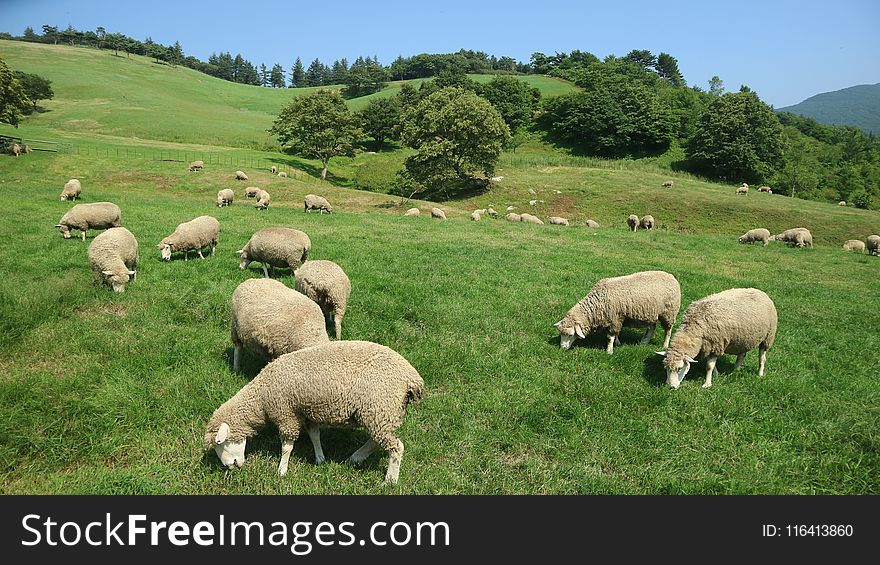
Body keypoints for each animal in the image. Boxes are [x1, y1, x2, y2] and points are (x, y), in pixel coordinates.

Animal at [206, 340, 426, 484]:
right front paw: (320, 459)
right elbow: (314, 435)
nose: (230, 467)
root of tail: (411, 378)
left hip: (380, 409)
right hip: (379, 414)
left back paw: (390, 480)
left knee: (396, 447)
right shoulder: (306, 412)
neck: (262, 398)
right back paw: (355, 458)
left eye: (221, 443)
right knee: (376, 441)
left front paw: (281, 470)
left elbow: (287, 447)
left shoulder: (286, 414)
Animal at [552, 270, 684, 354]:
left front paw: (609, 351)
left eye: (570, 335)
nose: (562, 348)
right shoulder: (614, 319)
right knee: (652, 327)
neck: (598, 303)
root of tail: (671, 276)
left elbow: (610, 336)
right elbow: (615, 334)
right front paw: (618, 343)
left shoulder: (615, 318)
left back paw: (665, 345)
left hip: (669, 312)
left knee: (668, 330)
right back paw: (644, 342)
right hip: (652, 312)